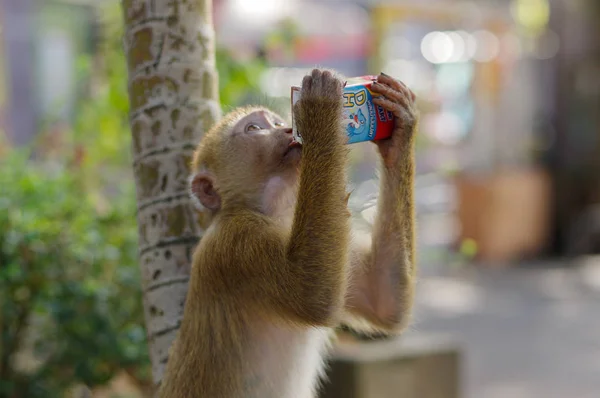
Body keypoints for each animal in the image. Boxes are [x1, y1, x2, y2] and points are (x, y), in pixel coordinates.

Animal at [157, 69, 420, 398]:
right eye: (255, 128)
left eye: (276, 122)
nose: (286, 130)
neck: (273, 213)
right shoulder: (234, 243)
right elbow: (312, 294)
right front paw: (319, 105)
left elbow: (384, 300)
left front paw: (400, 126)